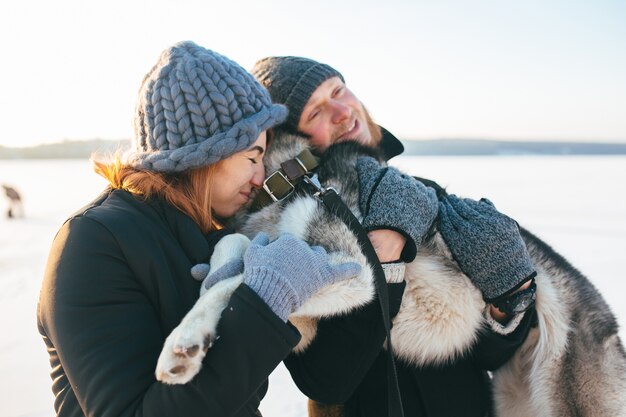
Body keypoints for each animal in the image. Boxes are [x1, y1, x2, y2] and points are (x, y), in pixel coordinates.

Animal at [155, 132, 624, 414]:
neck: (291, 179)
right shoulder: (304, 314)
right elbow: (236, 260)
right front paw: (194, 335)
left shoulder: (356, 268)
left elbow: (243, 274)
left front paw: (181, 343)